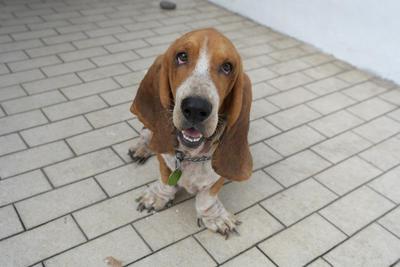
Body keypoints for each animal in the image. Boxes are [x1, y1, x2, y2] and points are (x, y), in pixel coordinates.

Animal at [130, 27, 252, 239]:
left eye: (227, 67)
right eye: (182, 56)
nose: (196, 108)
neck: (190, 155)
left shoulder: (217, 176)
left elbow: (207, 197)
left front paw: (214, 216)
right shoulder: (164, 158)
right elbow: (165, 179)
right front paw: (158, 196)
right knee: (147, 131)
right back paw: (142, 147)